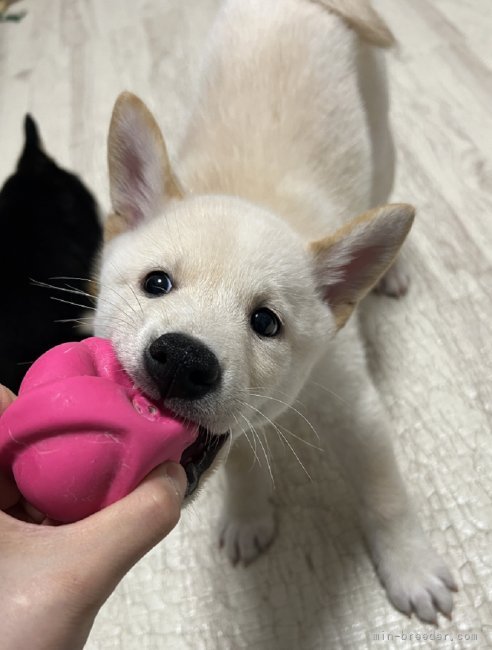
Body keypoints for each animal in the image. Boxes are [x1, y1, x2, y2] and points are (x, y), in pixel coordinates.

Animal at [95, 0, 458, 624]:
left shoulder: (356, 410)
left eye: (266, 322)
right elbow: (238, 459)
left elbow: (386, 494)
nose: (182, 359)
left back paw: (390, 270)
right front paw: (247, 514)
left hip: (382, 139)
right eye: (156, 283)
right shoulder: (233, 428)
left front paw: (410, 566)